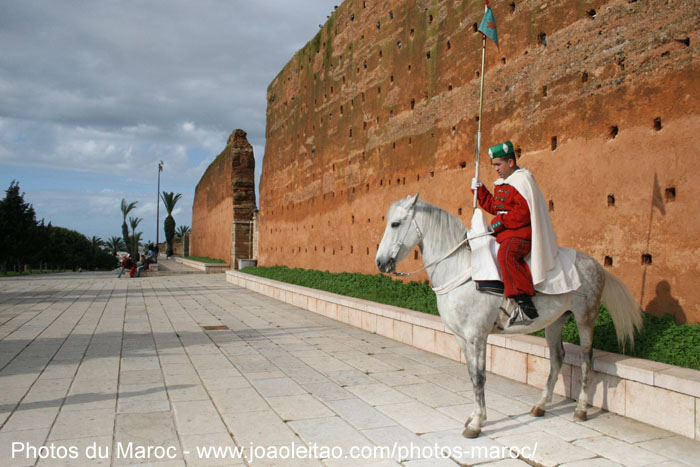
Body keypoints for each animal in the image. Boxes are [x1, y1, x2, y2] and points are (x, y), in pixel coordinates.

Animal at [374, 193, 644, 438]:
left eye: (395, 224)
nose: (380, 262)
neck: (461, 268)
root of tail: (596, 264)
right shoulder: (462, 337)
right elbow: (471, 375)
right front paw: (474, 416)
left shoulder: (477, 336)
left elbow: (479, 377)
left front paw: (477, 423)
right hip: (555, 321)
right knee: (557, 358)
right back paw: (541, 405)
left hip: (585, 317)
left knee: (588, 360)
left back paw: (581, 409)